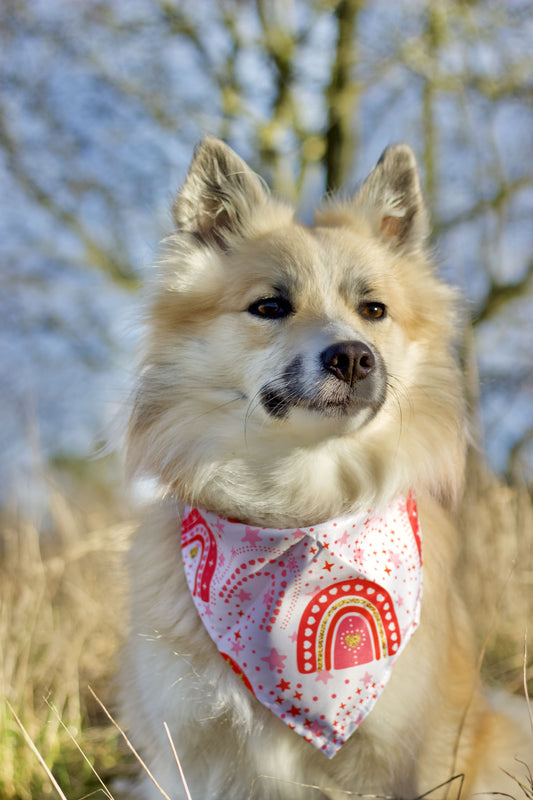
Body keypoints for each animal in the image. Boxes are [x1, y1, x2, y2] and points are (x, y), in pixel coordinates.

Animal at [118, 141, 528, 796]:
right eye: (269, 306)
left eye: (374, 309)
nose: (354, 357)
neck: (303, 511)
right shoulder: (187, 748)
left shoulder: (412, 751)